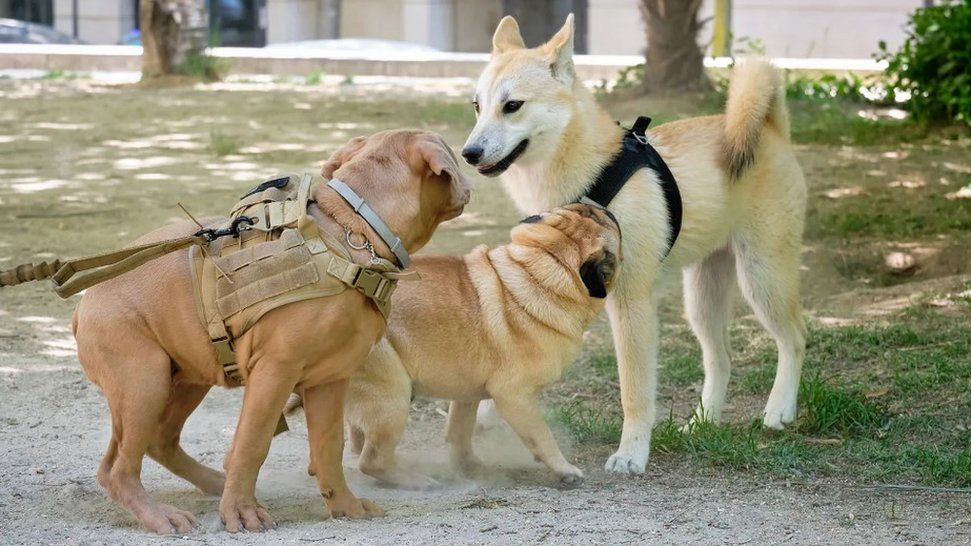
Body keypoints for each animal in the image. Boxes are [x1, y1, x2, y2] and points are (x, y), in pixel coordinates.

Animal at [0, 131, 468, 532]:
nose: (472, 160)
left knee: (159, 441)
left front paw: (345, 506)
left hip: (186, 377)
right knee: (118, 468)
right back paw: (161, 515)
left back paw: (214, 483)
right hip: (143, 382)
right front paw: (241, 513)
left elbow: (328, 446)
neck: (352, 229)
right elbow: (252, 443)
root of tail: (84, 306)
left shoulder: (329, 379)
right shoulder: (275, 373)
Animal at [338, 203, 620, 484]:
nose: (600, 205)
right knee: (372, 460)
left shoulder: (467, 394)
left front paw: (468, 466)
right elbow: (542, 436)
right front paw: (564, 469)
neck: (540, 270)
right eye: (610, 221)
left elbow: (460, 431)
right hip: (393, 395)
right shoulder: (515, 397)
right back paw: (417, 481)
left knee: (358, 442)